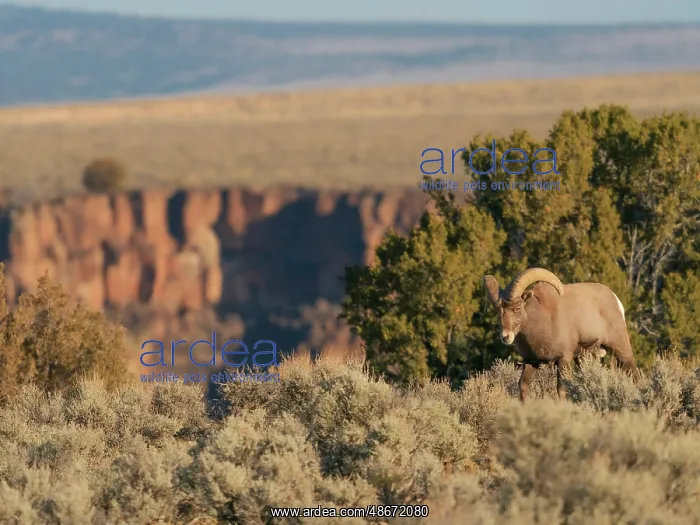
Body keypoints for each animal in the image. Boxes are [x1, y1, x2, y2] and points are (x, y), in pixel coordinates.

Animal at [483, 267, 637, 402]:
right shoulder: (531, 361)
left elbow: (562, 390)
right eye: (498, 312)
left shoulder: (563, 360)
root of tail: (616, 300)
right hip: (584, 357)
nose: (505, 336)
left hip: (621, 349)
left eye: (517, 308)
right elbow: (523, 387)